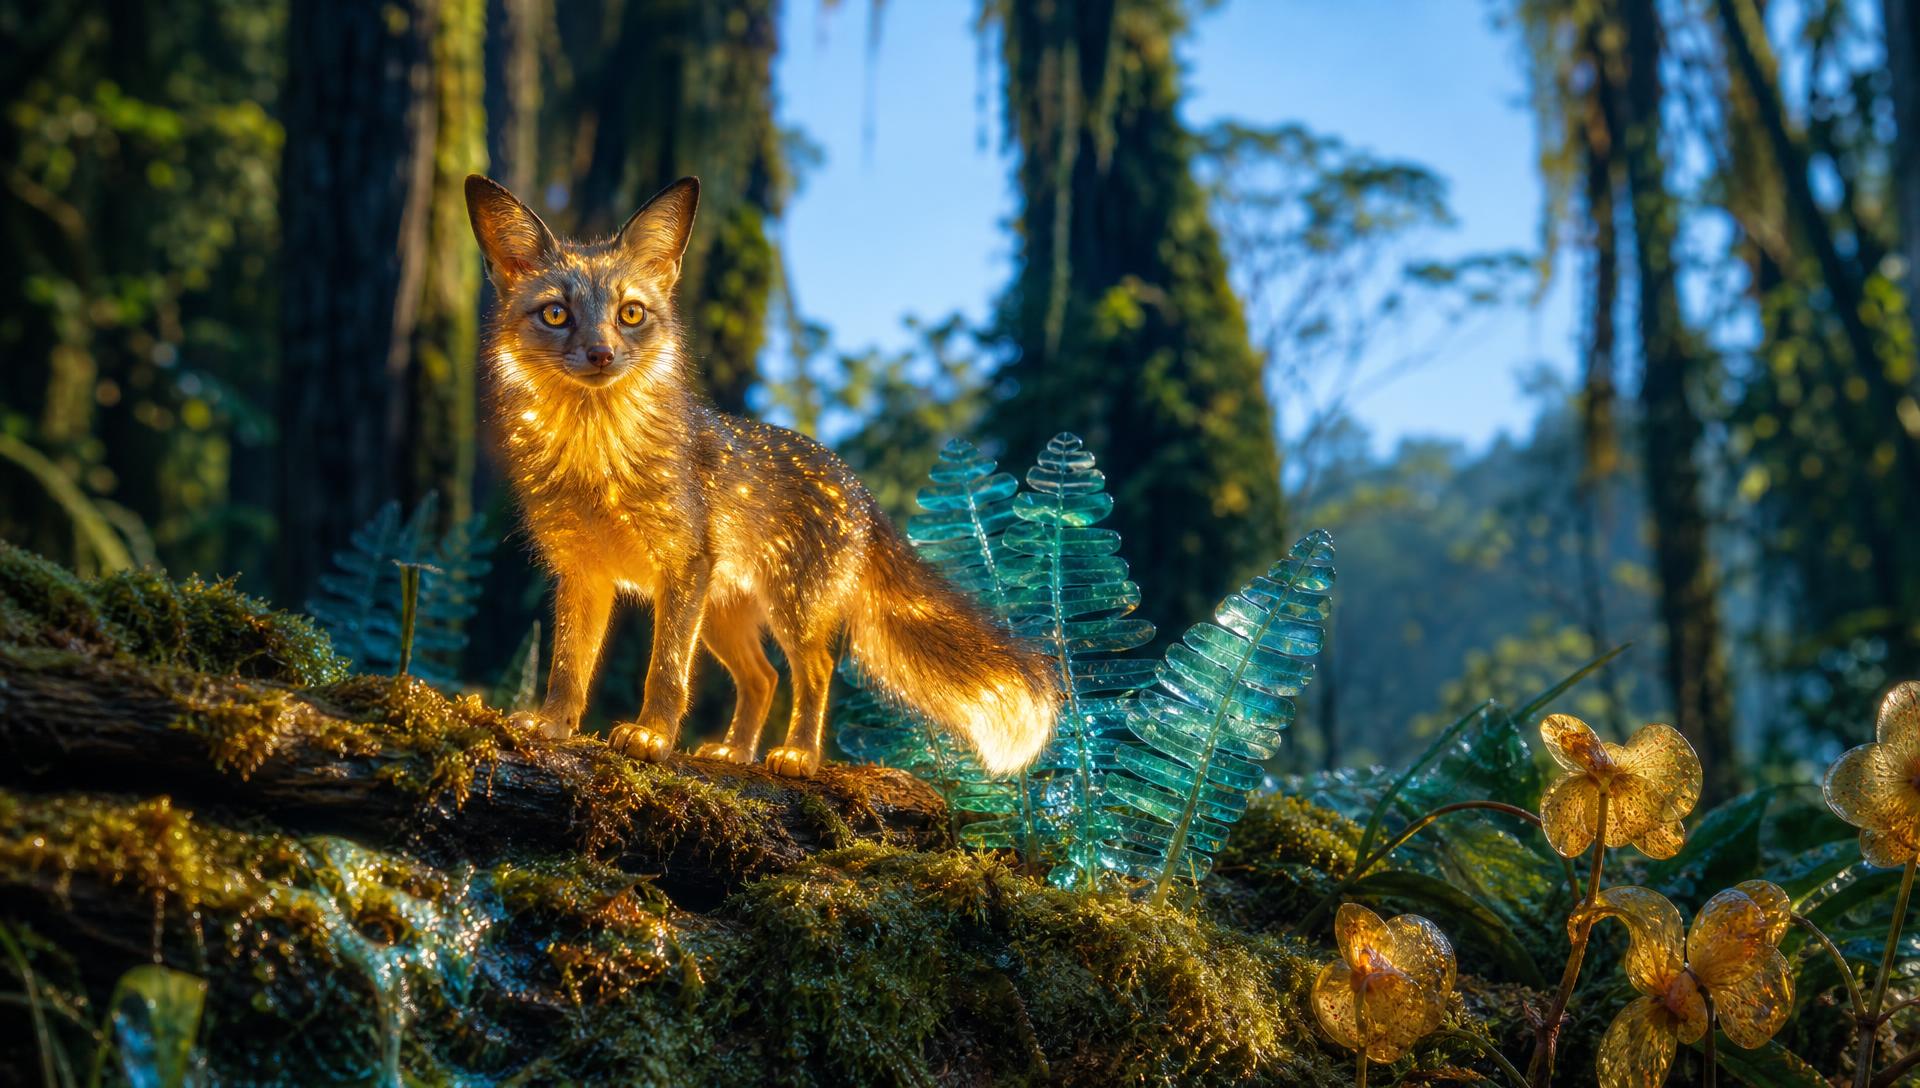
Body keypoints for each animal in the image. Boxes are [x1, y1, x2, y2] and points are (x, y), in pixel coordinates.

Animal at [464, 173, 1061, 778]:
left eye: (630, 313)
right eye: (555, 314)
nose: (601, 355)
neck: (598, 463)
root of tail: (858, 487)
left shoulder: (682, 566)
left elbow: (666, 671)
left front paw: (652, 736)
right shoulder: (583, 572)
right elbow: (568, 665)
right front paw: (554, 725)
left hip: (791, 609)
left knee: (814, 671)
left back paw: (798, 754)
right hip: (723, 615)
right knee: (764, 677)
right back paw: (736, 751)